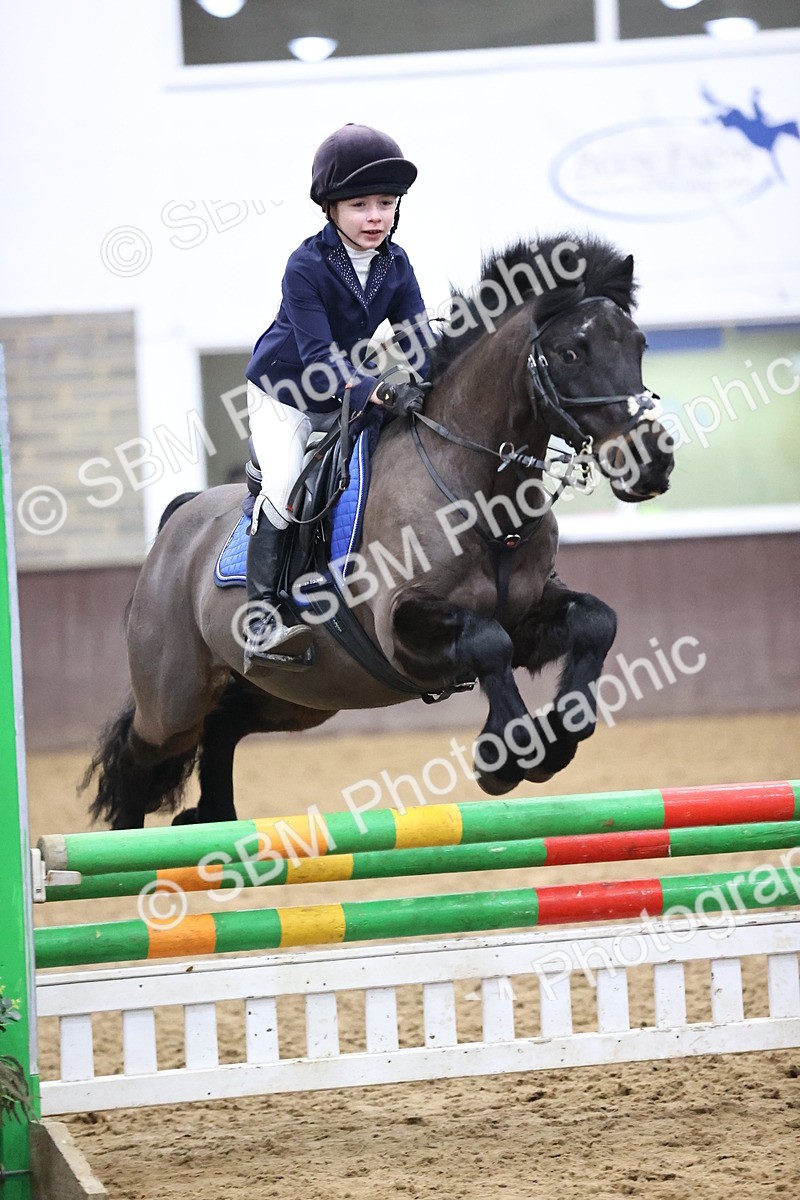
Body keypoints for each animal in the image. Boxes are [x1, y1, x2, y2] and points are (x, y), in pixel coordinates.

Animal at [83, 233, 675, 829]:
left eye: (640, 344)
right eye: (572, 352)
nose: (652, 462)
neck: (483, 495)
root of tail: (178, 524)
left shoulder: (529, 612)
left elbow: (593, 621)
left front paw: (557, 738)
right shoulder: (403, 627)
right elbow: (488, 640)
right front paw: (504, 757)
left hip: (297, 695)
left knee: (223, 726)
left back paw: (215, 815)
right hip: (174, 699)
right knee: (139, 754)